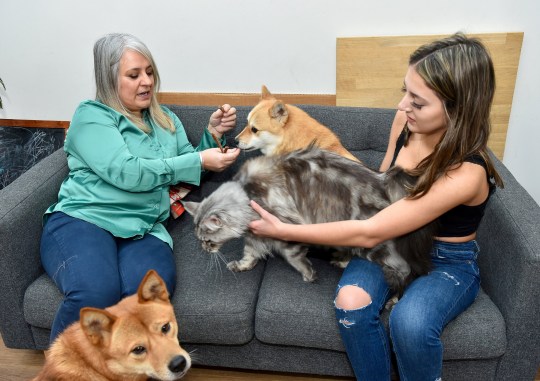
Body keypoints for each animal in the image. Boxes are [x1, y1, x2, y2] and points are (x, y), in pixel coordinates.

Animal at [184, 147, 436, 292]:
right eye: (200, 240)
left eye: (207, 240)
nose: (204, 249)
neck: (246, 193)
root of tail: (383, 181)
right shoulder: (255, 234)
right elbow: (250, 254)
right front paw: (242, 265)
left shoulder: (283, 227)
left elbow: (293, 256)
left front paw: (308, 274)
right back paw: (341, 261)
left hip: (373, 242)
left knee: (404, 269)